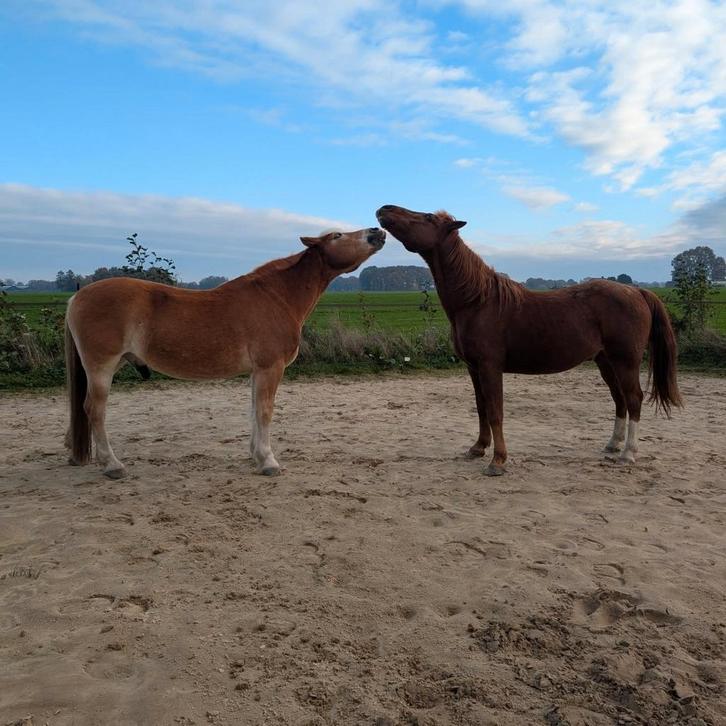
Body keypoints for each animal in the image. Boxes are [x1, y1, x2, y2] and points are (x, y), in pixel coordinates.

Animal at [64, 227, 385, 479]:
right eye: (337, 235)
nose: (377, 232)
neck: (277, 298)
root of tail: (77, 296)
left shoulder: (258, 371)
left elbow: (254, 410)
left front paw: (256, 455)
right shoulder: (271, 368)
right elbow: (265, 411)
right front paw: (268, 461)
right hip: (103, 367)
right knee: (94, 409)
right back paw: (112, 464)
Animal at [376, 204, 682, 476]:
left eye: (427, 217)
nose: (384, 209)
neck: (477, 301)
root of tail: (637, 291)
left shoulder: (490, 367)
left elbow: (495, 411)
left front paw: (498, 461)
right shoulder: (473, 368)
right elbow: (481, 408)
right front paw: (478, 448)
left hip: (625, 361)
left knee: (634, 399)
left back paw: (628, 454)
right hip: (605, 362)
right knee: (619, 400)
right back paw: (613, 445)